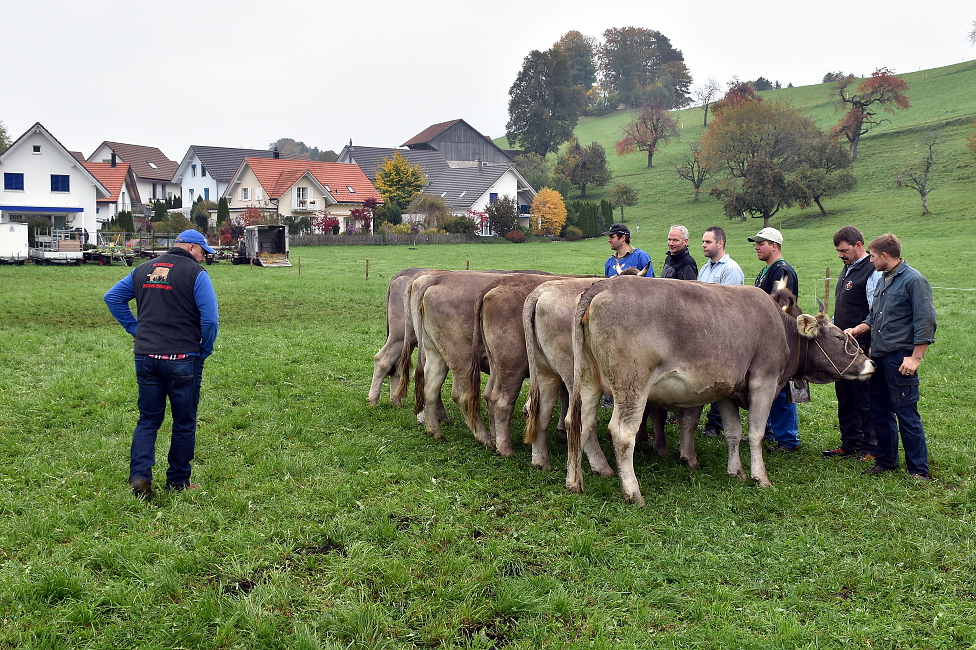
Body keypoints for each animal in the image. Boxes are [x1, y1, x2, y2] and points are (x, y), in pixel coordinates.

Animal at [568, 276, 872, 504]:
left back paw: (575, 481)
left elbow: (733, 433)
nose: (871, 364)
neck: (781, 329)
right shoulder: (763, 381)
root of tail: (603, 285)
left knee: (579, 423)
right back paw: (632, 492)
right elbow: (756, 433)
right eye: (840, 337)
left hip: (588, 380)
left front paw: (736, 471)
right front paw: (760, 477)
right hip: (632, 386)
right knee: (621, 433)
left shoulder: (726, 391)